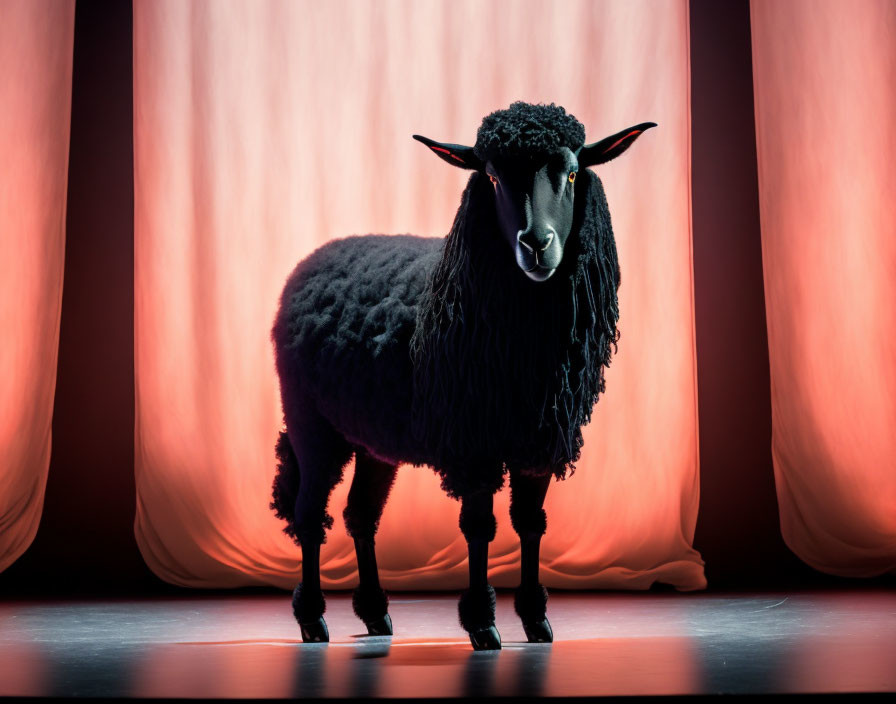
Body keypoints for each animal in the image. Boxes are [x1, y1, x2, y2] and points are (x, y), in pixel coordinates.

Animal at [270, 102, 656, 652]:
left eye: (572, 173)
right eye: (491, 177)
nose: (536, 244)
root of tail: (312, 261)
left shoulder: (537, 439)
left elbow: (531, 523)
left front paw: (536, 619)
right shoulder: (474, 442)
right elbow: (479, 526)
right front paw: (482, 624)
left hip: (372, 438)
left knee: (361, 513)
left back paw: (376, 614)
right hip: (310, 421)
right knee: (308, 513)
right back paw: (312, 620)